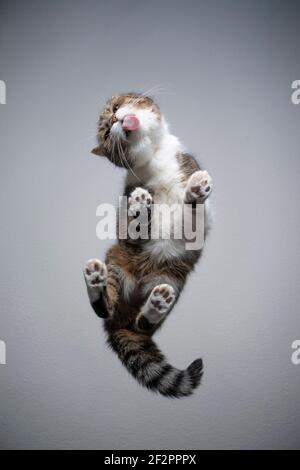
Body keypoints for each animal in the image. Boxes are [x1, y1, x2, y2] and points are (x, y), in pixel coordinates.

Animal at [83, 93, 212, 398]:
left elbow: (194, 214)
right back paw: (95, 280)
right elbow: (137, 225)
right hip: (117, 264)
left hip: (172, 279)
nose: (115, 119)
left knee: (142, 326)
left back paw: (156, 304)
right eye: (107, 133)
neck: (156, 160)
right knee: (106, 308)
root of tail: (119, 324)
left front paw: (195, 191)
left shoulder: (199, 224)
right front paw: (142, 205)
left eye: (116, 108)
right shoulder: (127, 223)